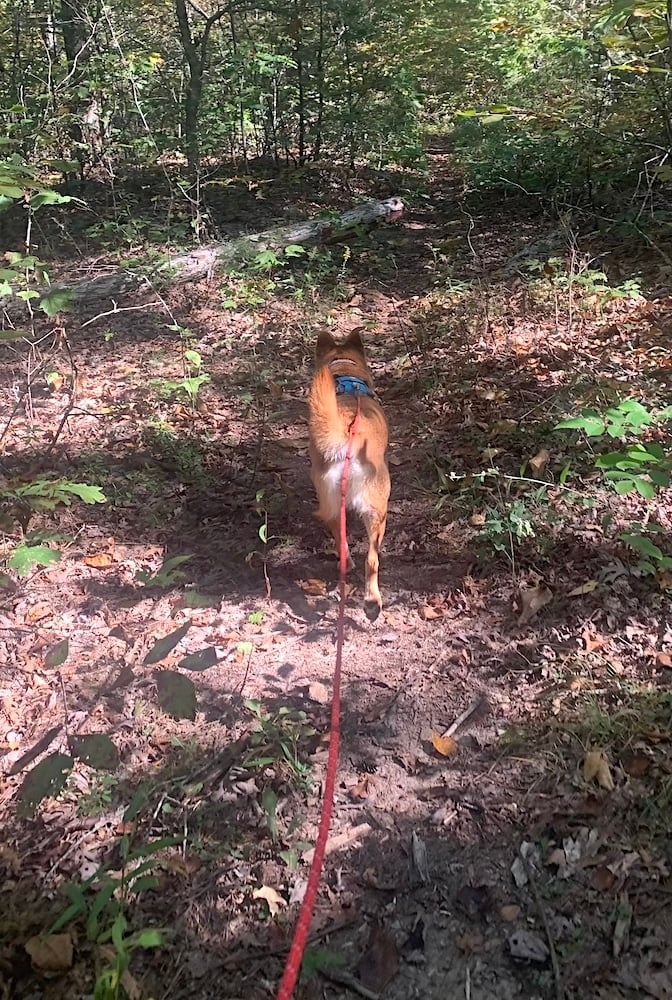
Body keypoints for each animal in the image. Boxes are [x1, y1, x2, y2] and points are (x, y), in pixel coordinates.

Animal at [308, 328, 392, 620]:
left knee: (342, 543)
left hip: (331, 505)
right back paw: (372, 602)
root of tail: (346, 440)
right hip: (379, 510)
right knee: (372, 559)